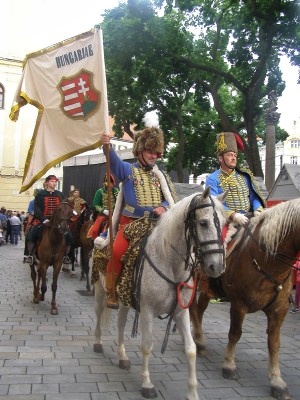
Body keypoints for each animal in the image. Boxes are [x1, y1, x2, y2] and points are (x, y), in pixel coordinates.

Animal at [92, 188, 226, 400]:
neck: (170, 263)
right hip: (99, 288)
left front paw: (192, 392)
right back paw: (97, 343)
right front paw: (147, 384)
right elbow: (147, 346)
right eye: (203, 223)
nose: (216, 266)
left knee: (121, 323)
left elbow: (191, 350)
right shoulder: (147, 312)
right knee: (98, 313)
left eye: (224, 223)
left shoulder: (181, 313)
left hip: (125, 298)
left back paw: (122, 357)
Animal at [190, 199, 300, 400]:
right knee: (193, 310)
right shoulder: (238, 304)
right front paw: (229, 366)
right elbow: (235, 334)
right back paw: (199, 341)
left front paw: (277, 382)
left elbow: (274, 344)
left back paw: (199, 340)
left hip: (208, 288)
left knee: (199, 311)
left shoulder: (279, 310)